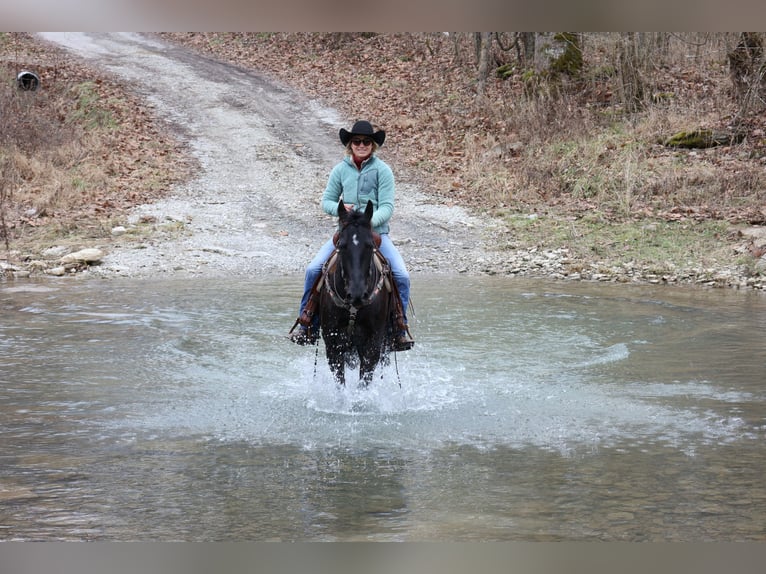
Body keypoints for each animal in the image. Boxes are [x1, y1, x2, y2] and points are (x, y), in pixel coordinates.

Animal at [320, 199, 392, 388]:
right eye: (341, 245)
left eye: (370, 245)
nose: (357, 294)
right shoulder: (332, 344)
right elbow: (340, 383)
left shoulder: (373, 344)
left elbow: (364, 382)